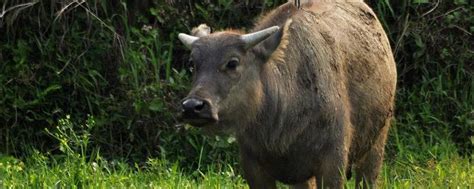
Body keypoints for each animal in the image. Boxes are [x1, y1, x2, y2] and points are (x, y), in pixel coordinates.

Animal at [178, 0, 396, 188]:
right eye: (192, 63)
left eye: (233, 62)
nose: (192, 107)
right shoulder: (253, 165)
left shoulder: (333, 161)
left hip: (377, 141)